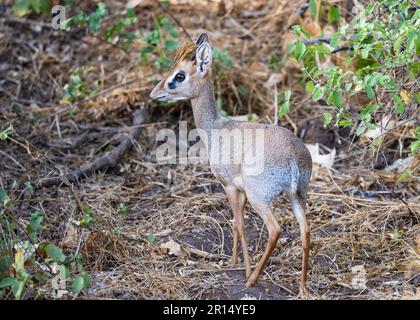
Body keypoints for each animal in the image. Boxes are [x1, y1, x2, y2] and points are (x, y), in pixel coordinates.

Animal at [150, 33, 312, 292]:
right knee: (305, 230)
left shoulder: (229, 186)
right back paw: (302, 287)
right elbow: (236, 224)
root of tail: (292, 156)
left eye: (179, 75)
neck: (216, 128)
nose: (154, 94)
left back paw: (252, 279)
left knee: (275, 230)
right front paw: (234, 261)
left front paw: (242, 268)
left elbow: (241, 225)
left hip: (261, 199)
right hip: (297, 195)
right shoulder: (241, 190)